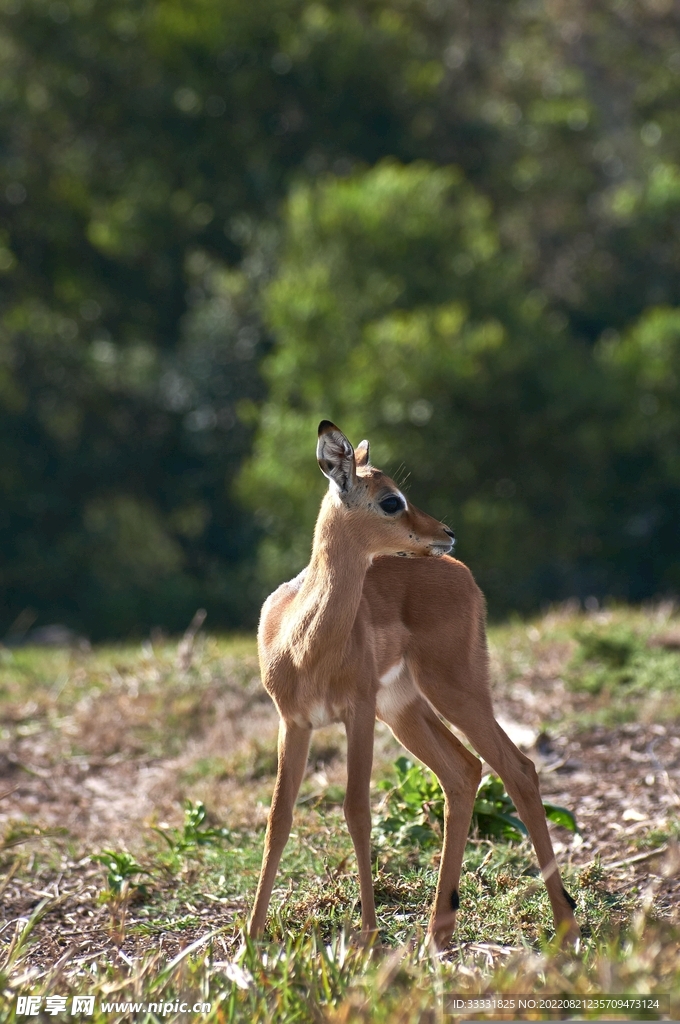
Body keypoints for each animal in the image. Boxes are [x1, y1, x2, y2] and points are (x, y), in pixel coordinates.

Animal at [248, 421, 579, 950]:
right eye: (390, 500)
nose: (446, 533)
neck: (302, 644)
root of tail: (461, 572)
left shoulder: (357, 712)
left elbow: (357, 812)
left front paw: (367, 937)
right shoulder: (294, 722)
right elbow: (279, 819)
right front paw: (251, 939)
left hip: (455, 691)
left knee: (519, 769)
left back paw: (565, 929)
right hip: (404, 709)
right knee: (464, 771)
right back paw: (436, 934)